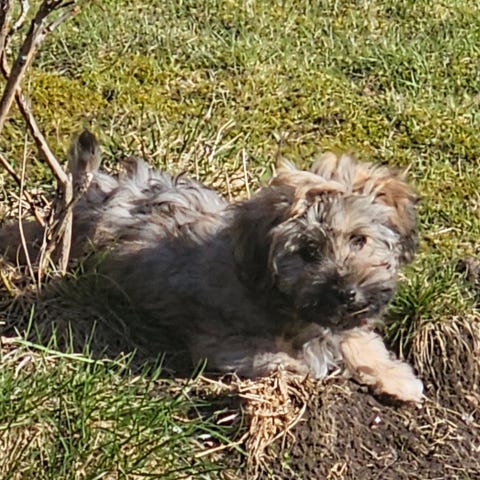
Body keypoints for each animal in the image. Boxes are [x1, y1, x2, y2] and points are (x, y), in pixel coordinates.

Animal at [0, 131, 423, 402]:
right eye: (308, 251)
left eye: (359, 240)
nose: (346, 292)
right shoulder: (223, 341)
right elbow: (283, 359)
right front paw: (310, 362)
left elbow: (359, 339)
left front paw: (395, 377)